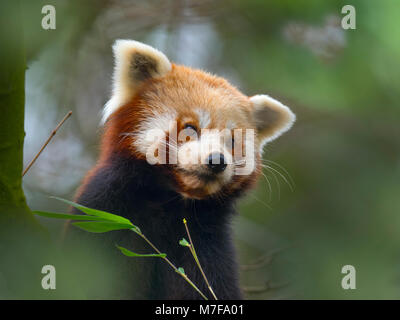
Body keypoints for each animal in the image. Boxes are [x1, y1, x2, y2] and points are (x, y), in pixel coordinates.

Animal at [72, 40, 296, 300]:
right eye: (190, 128)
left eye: (231, 140)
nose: (217, 160)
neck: (170, 202)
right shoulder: (104, 214)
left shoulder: (207, 245)